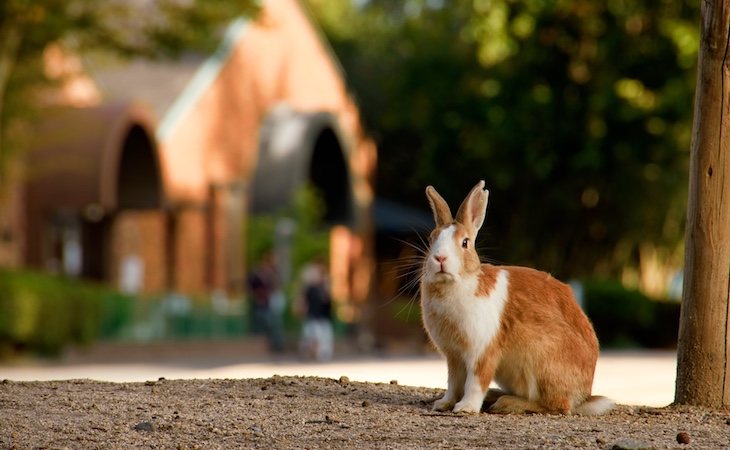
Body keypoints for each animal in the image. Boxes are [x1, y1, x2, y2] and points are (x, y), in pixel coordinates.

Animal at [418, 179, 612, 414]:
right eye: (431, 239)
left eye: (464, 243)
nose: (440, 258)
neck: (460, 282)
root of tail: (583, 396)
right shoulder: (453, 357)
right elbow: (453, 383)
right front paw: (443, 404)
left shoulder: (482, 351)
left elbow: (475, 382)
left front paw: (465, 408)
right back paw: (495, 397)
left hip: (541, 362)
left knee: (556, 405)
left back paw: (506, 403)